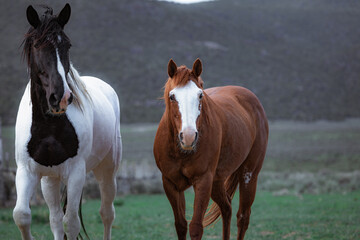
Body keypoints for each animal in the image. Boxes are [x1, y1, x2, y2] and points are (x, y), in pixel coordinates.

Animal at [13, 4, 122, 240]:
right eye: (37, 44)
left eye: (67, 44)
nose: (60, 97)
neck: (49, 126)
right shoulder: (27, 170)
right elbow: (22, 216)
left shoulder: (76, 172)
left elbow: (71, 222)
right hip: (50, 180)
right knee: (54, 219)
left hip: (107, 171)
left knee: (107, 213)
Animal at [153, 58, 268, 240]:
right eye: (172, 96)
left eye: (200, 95)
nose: (188, 136)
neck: (182, 152)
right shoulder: (171, 184)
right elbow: (181, 225)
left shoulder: (203, 181)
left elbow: (195, 227)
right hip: (217, 181)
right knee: (226, 208)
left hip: (249, 174)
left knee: (243, 217)